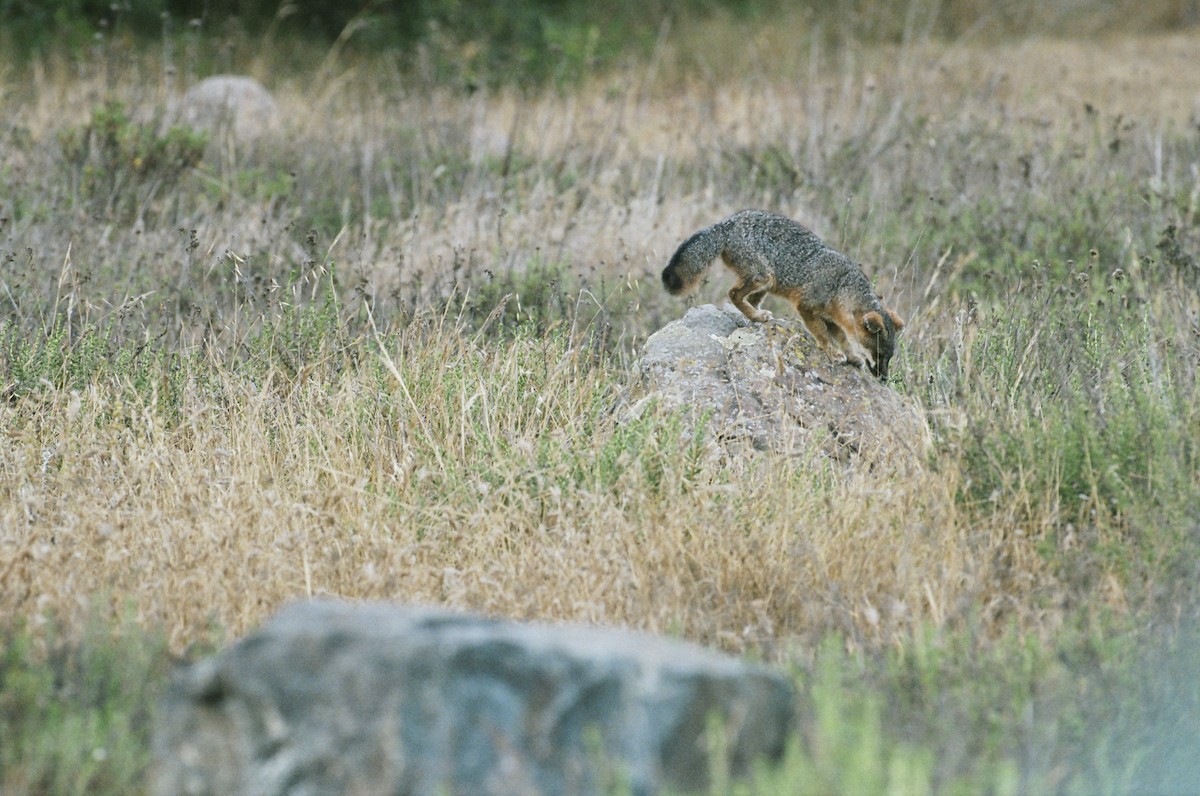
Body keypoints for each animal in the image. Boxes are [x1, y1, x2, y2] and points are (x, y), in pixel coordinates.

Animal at [662, 209, 906, 379]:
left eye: (888, 357)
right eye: (879, 354)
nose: (884, 379)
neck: (842, 286)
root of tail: (727, 223)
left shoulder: (833, 318)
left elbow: (844, 339)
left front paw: (852, 356)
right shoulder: (807, 307)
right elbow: (823, 335)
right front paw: (833, 352)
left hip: (767, 285)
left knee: (748, 299)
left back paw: (756, 316)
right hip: (763, 277)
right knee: (733, 294)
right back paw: (756, 316)